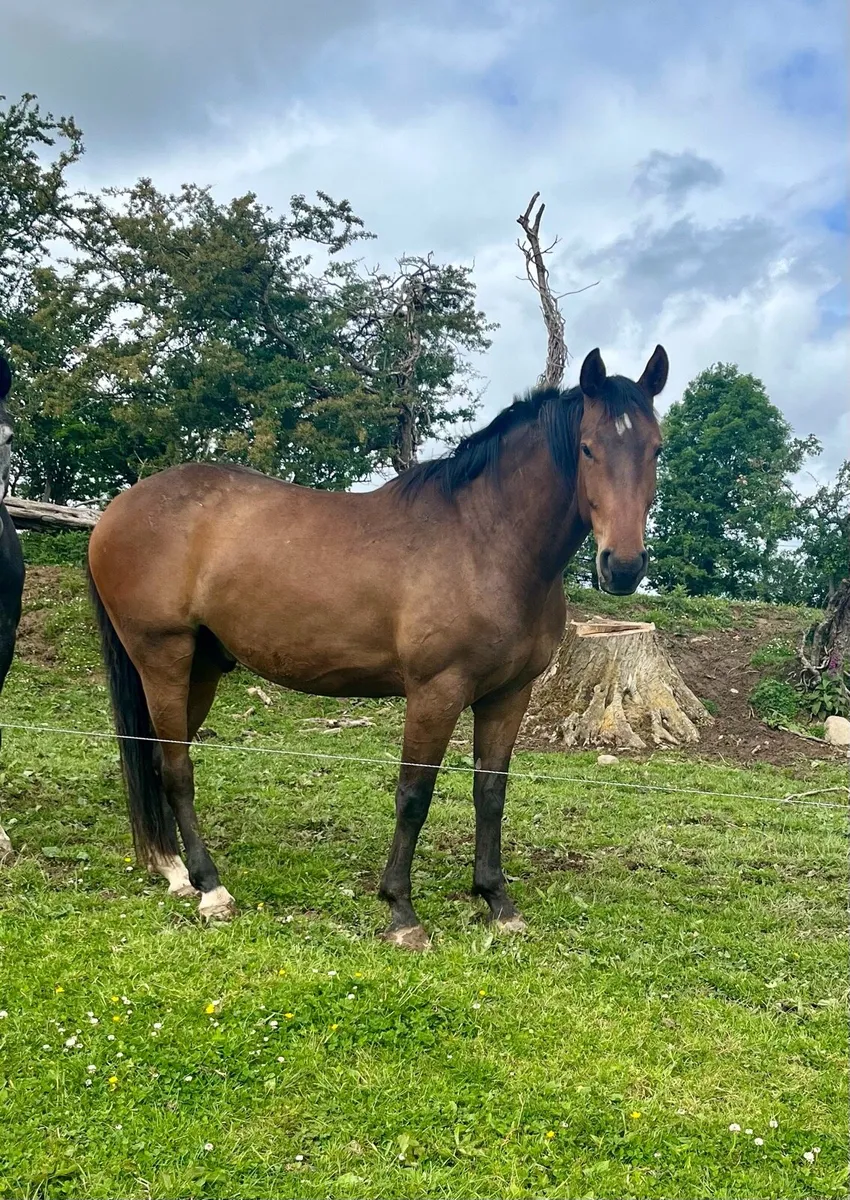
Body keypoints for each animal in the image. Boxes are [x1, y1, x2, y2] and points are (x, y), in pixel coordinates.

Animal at [88, 345, 667, 948]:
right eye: (587, 447)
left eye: (656, 448)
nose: (624, 566)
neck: (486, 540)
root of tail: (116, 511)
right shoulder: (436, 692)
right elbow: (414, 795)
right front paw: (401, 912)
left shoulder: (509, 695)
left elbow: (491, 794)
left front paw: (497, 902)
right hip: (164, 659)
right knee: (177, 768)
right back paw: (210, 888)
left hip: (200, 669)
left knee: (159, 760)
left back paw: (172, 870)